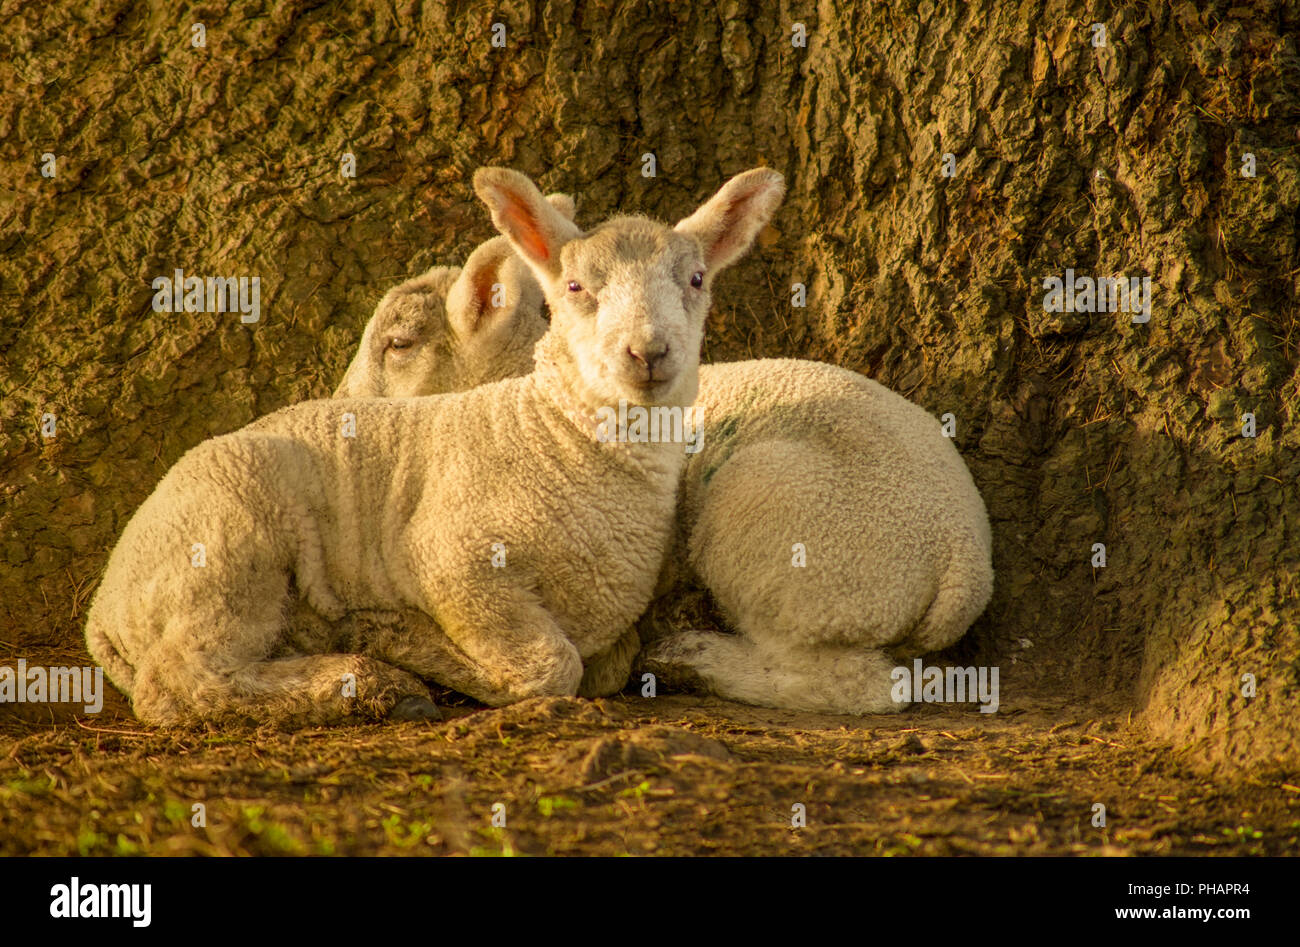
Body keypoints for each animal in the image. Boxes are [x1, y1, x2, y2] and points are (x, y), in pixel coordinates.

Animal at [89, 166, 790, 723]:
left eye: (696, 279)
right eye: (574, 288)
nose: (648, 352)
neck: (554, 438)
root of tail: (104, 603)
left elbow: (609, 664)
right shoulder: (452, 561)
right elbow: (549, 665)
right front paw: (397, 636)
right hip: (231, 539)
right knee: (180, 681)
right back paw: (364, 681)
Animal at [340, 201, 987, 718]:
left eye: (398, 344)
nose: (340, 407)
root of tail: (964, 557)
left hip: (786, 546)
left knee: (861, 684)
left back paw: (694, 657)